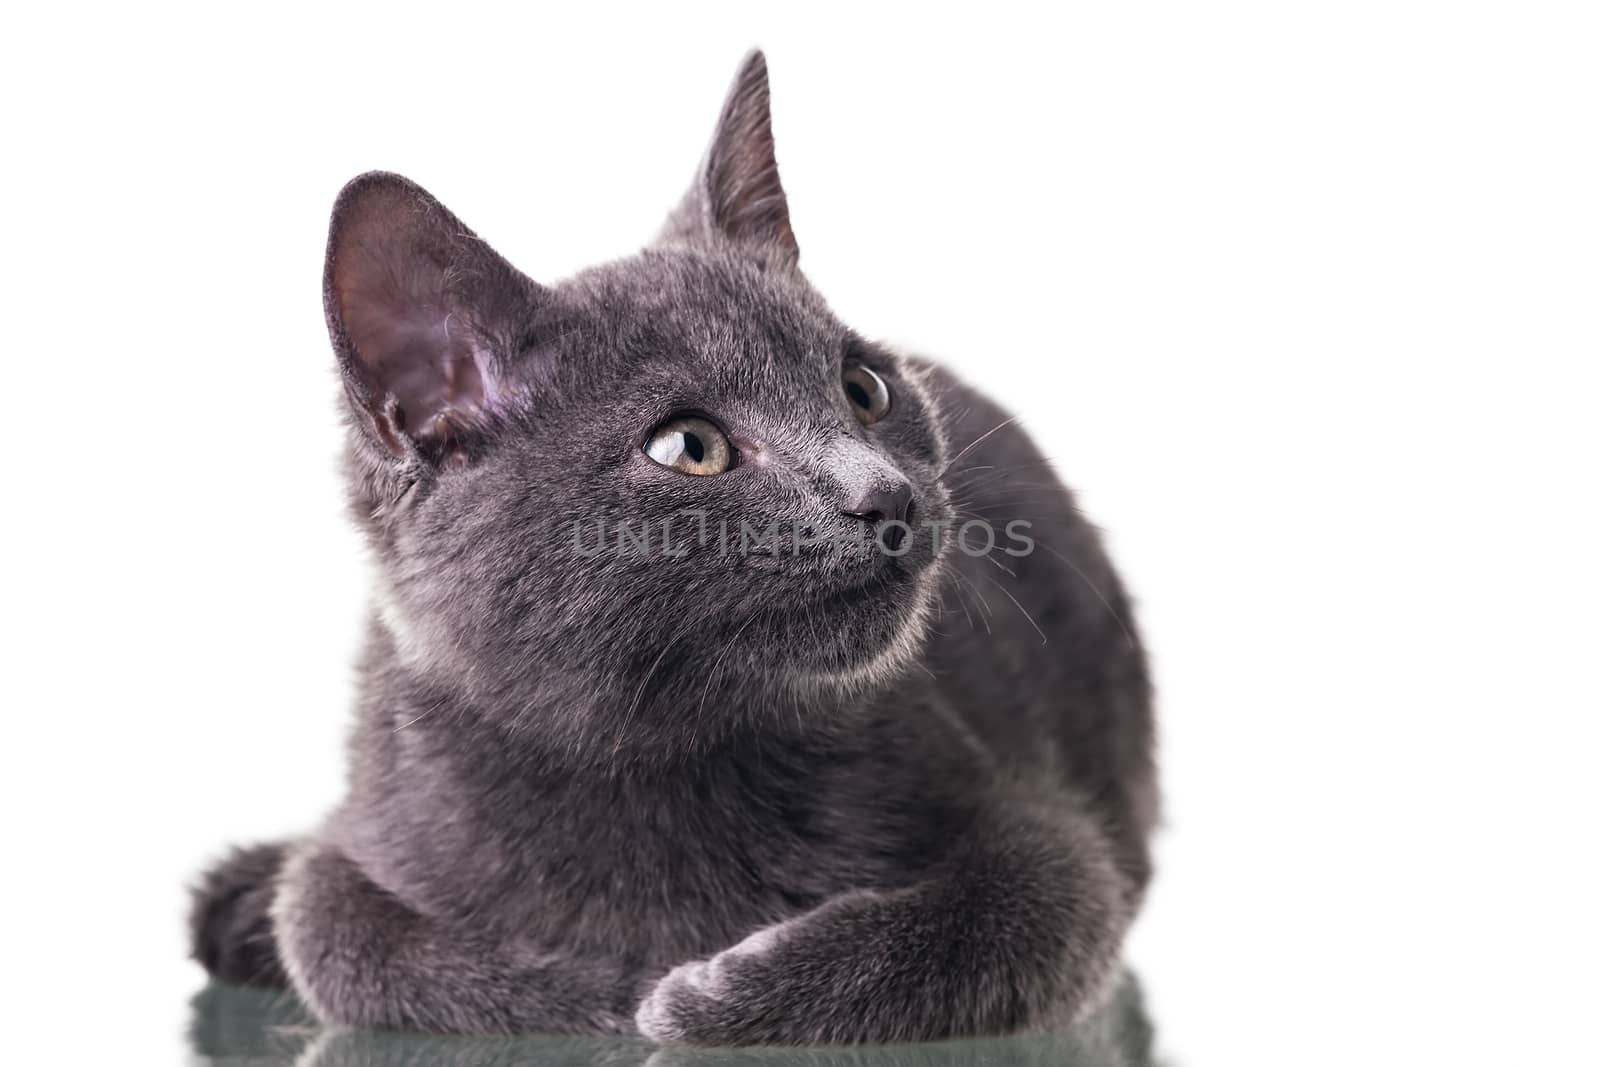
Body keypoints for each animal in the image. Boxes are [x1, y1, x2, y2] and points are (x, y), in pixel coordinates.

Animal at [193, 51, 1158, 1049]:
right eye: (689, 448)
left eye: (863, 388)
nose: (885, 493)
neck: (653, 758)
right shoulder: (369, 825)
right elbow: (332, 929)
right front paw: (604, 988)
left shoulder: (1047, 836)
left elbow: (1003, 916)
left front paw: (710, 993)